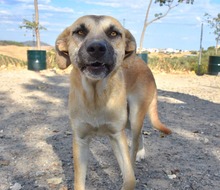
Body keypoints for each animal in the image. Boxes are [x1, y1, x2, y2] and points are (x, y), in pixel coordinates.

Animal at [55, 15, 172, 190]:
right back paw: (141, 152)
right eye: (80, 32)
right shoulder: (80, 140)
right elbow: (79, 182)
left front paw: (128, 176)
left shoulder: (117, 135)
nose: (96, 48)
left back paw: (136, 155)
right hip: (128, 121)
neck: (96, 97)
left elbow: (130, 179)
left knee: (134, 144)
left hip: (134, 117)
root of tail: (144, 64)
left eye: (113, 33)